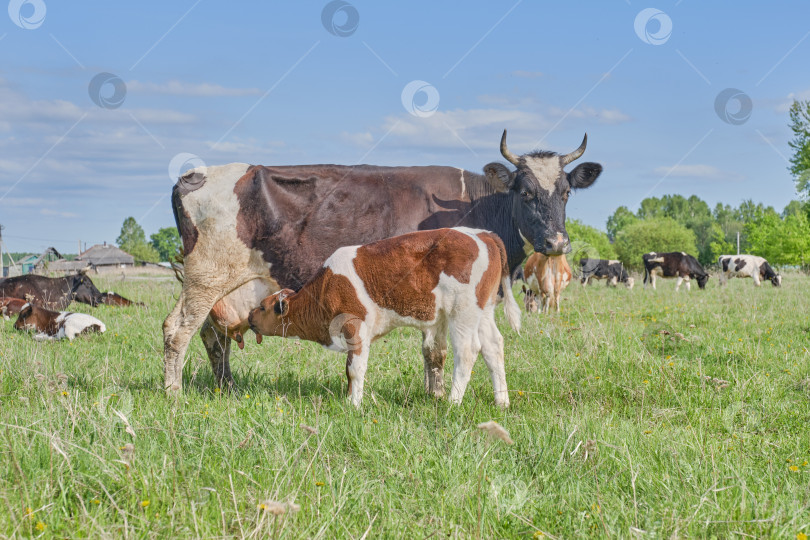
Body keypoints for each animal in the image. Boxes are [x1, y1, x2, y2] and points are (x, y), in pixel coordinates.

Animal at [249, 226, 520, 408]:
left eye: (262, 307)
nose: (250, 316)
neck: (327, 286)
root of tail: (482, 234)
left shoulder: (355, 325)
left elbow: (355, 368)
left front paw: (353, 405)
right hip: (483, 312)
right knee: (493, 347)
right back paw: (502, 401)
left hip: (462, 313)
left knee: (467, 351)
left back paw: (453, 402)